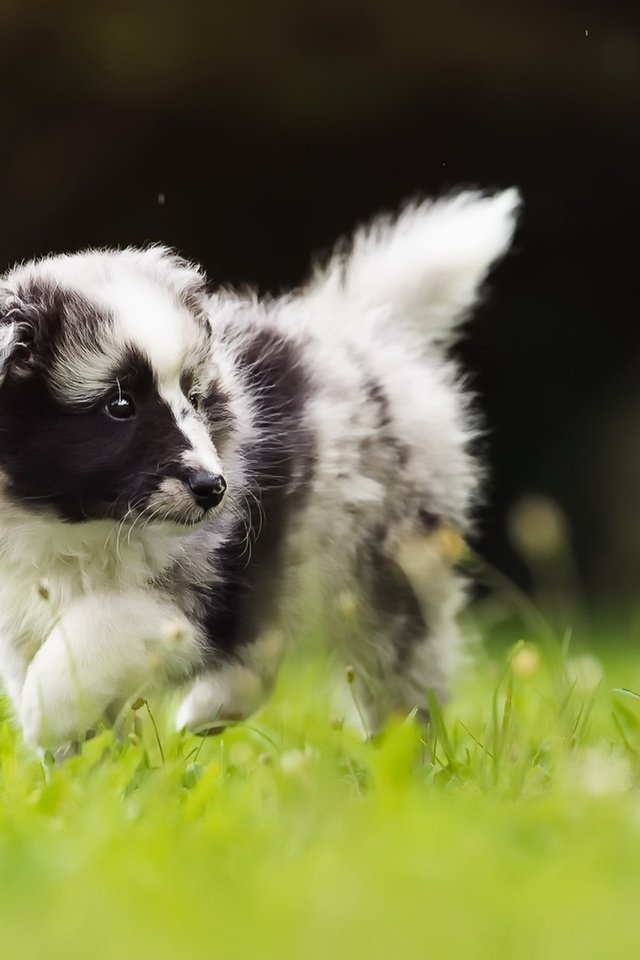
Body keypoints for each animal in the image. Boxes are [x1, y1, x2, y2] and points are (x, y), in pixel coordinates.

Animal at [0, 191, 520, 752]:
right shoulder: (19, 610)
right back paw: (211, 712)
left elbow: (91, 634)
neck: (72, 526)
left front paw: (45, 713)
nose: (214, 488)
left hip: (383, 570)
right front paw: (80, 757)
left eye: (195, 398)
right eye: (119, 406)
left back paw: (407, 753)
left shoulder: (188, 594)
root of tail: (362, 334)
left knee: (400, 671)